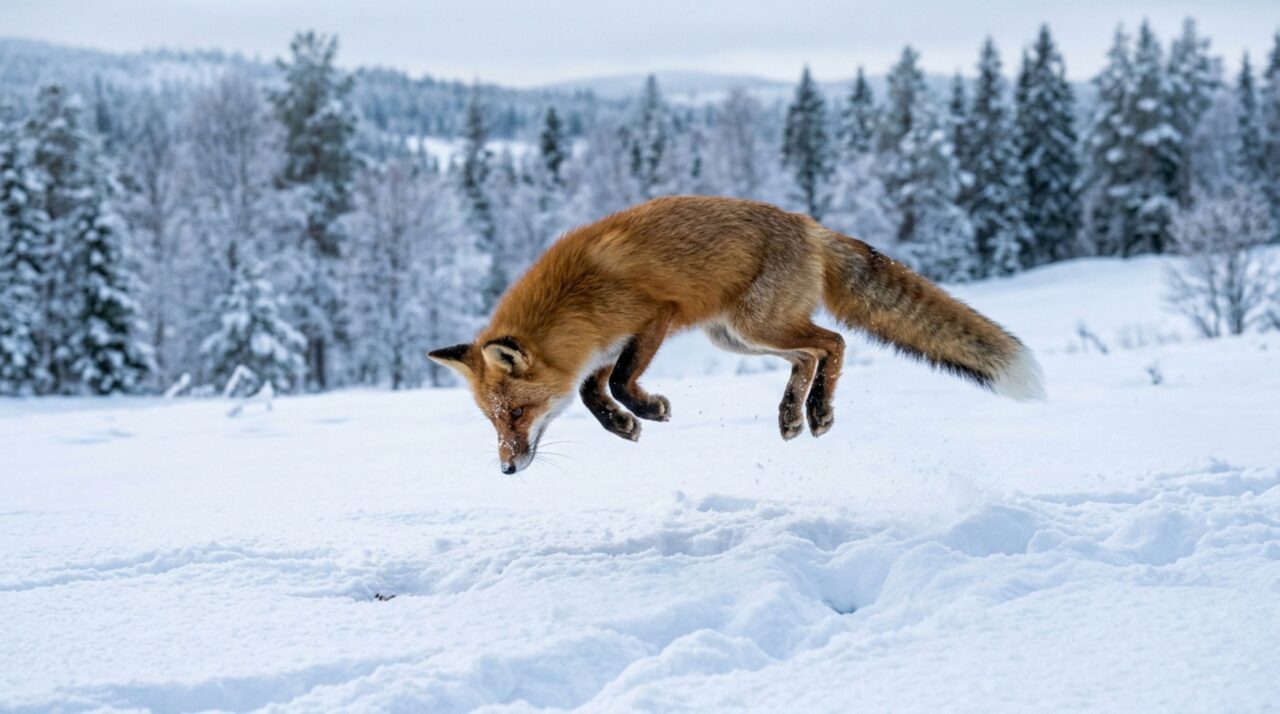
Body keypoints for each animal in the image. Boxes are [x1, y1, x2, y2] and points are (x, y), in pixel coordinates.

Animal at [430, 195, 1044, 474]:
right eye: (493, 421)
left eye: (516, 414)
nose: (506, 468)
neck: (574, 299)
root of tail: (810, 226)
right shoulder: (599, 347)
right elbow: (588, 390)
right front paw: (623, 425)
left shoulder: (653, 318)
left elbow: (623, 380)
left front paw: (645, 410)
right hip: (737, 337)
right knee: (807, 354)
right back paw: (792, 415)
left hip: (754, 324)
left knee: (833, 343)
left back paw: (818, 412)